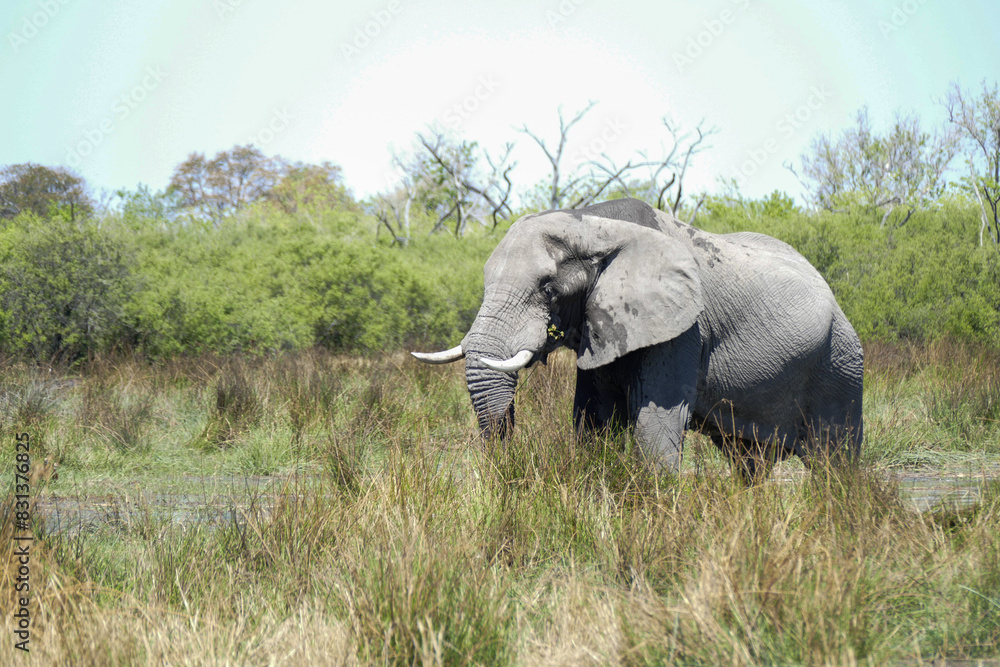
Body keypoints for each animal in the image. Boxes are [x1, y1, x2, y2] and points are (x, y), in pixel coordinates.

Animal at [412, 198, 863, 483]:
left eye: (548, 290)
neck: (591, 222)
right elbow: (594, 420)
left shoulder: (683, 329)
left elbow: (655, 424)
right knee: (748, 461)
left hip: (841, 363)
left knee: (836, 460)